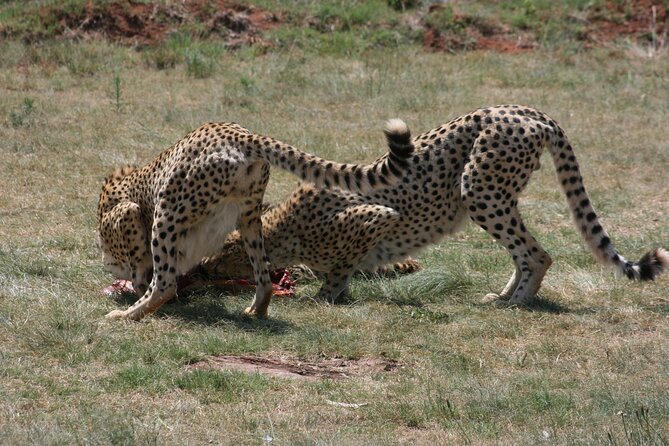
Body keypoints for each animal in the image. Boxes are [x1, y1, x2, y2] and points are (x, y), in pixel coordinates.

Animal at [96, 120, 412, 318]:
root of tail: (239, 134)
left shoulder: (127, 214)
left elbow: (140, 264)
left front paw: (135, 286)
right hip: (249, 217)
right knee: (264, 276)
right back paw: (257, 309)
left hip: (169, 214)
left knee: (164, 285)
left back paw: (126, 315)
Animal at [205, 106, 668, 304]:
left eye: (221, 250)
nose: (204, 268)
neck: (283, 228)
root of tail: (529, 111)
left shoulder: (375, 217)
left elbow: (341, 266)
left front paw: (328, 294)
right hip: (494, 194)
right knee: (525, 252)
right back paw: (505, 293)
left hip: (480, 191)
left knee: (537, 253)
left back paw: (513, 302)